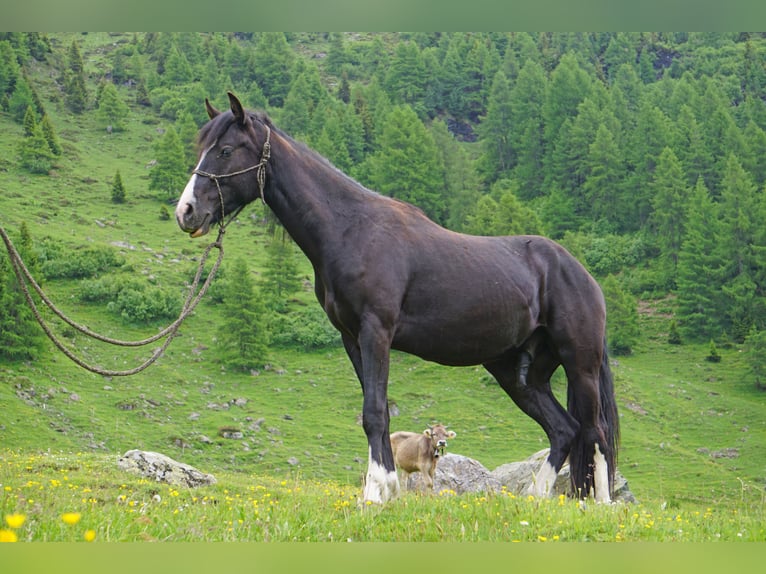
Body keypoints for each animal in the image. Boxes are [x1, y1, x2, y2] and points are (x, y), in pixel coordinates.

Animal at [174, 93, 616, 504]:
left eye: (226, 151)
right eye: (203, 149)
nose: (186, 212)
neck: (351, 230)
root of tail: (582, 275)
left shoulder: (377, 332)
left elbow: (373, 412)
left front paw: (373, 494)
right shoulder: (352, 338)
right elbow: (380, 414)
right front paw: (385, 488)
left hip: (580, 364)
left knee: (595, 433)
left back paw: (601, 505)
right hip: (519, 374)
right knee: (564, 430)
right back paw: (536, 497)